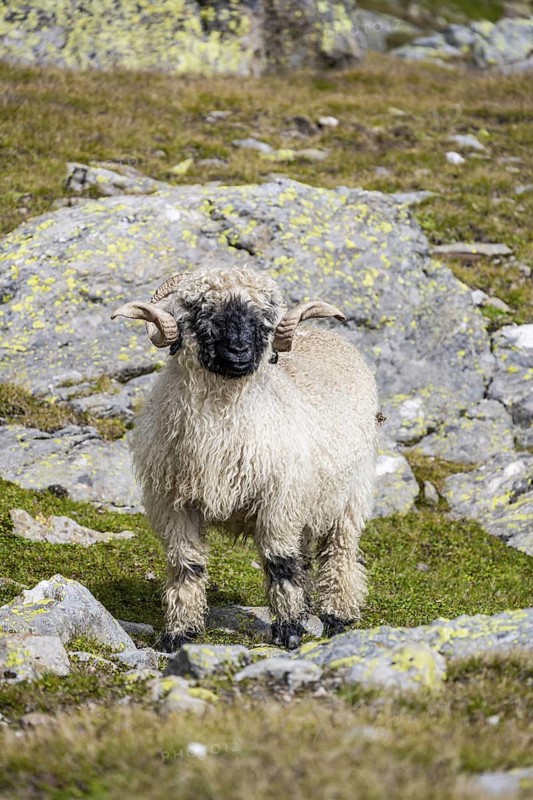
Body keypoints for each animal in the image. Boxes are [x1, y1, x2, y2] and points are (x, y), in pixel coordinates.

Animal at [112, 265, 380, 651]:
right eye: (199, 309)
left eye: (264, 314)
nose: (239, 351)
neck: (220, 428)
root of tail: (328, 335)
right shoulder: (174, 504)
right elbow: (186, 566)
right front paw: (179, 633)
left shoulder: (278, 500)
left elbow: (279, 563)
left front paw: (289, 631)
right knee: (306, 555)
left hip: (349, 495)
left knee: (339, 554)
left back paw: (338, 617)